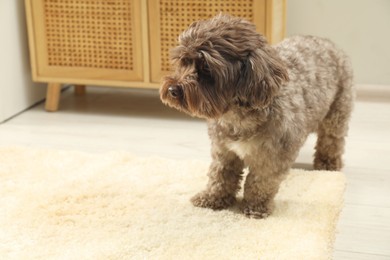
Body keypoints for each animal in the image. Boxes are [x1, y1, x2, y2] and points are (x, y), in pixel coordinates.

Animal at [158, 13, 354, 217]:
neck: (236, 116)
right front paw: (212, 198)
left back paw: (328, 164)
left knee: (332, 140)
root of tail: (327, 41)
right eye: (183, 60)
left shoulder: (271, 159)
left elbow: (259, 183)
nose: (172, 90)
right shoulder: (224, 151)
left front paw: (255, 207)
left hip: (336, 113)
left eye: (206, 68)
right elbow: (220, 177)